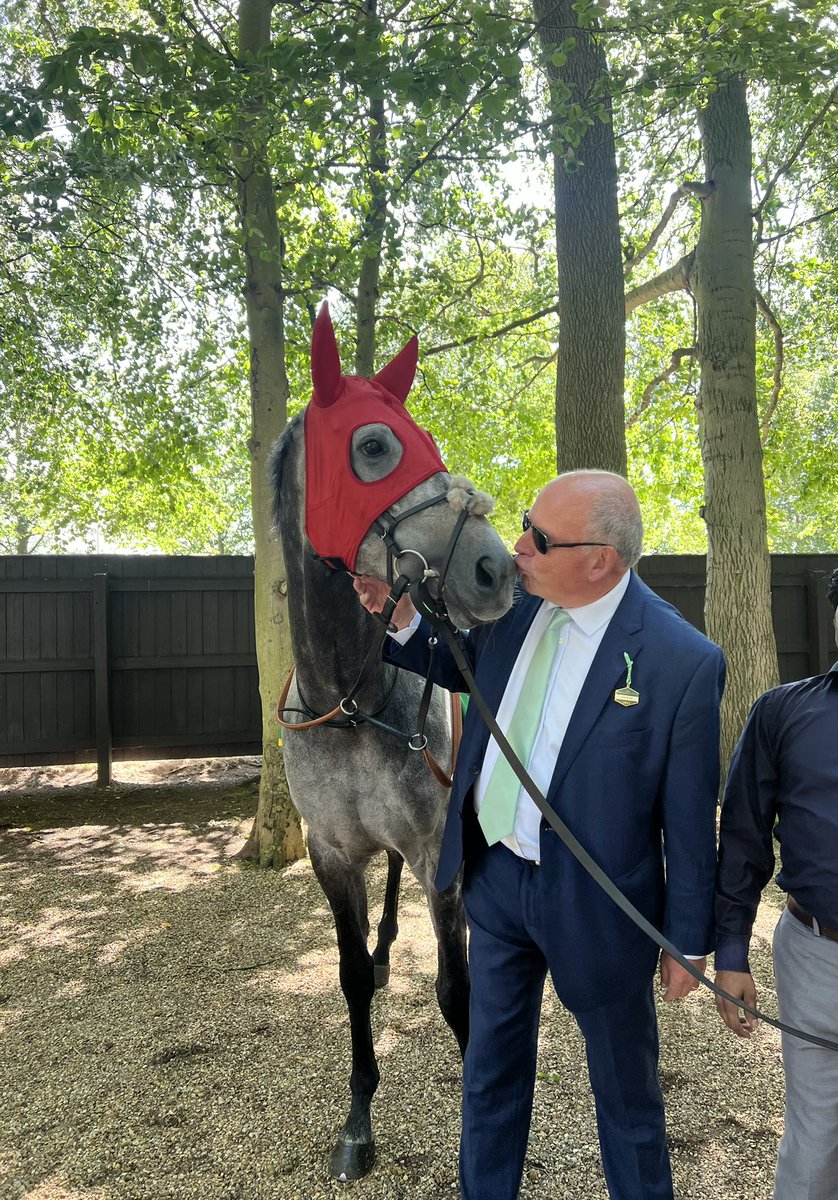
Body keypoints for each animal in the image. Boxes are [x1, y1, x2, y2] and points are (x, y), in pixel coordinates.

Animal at [271, 307, 511, 1180]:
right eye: (374, 445)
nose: (495, 567)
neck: (350, 702)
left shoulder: (439, 843)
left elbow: (454, 990)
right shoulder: (332, 852)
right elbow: (346, 979)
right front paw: (357, 1119)